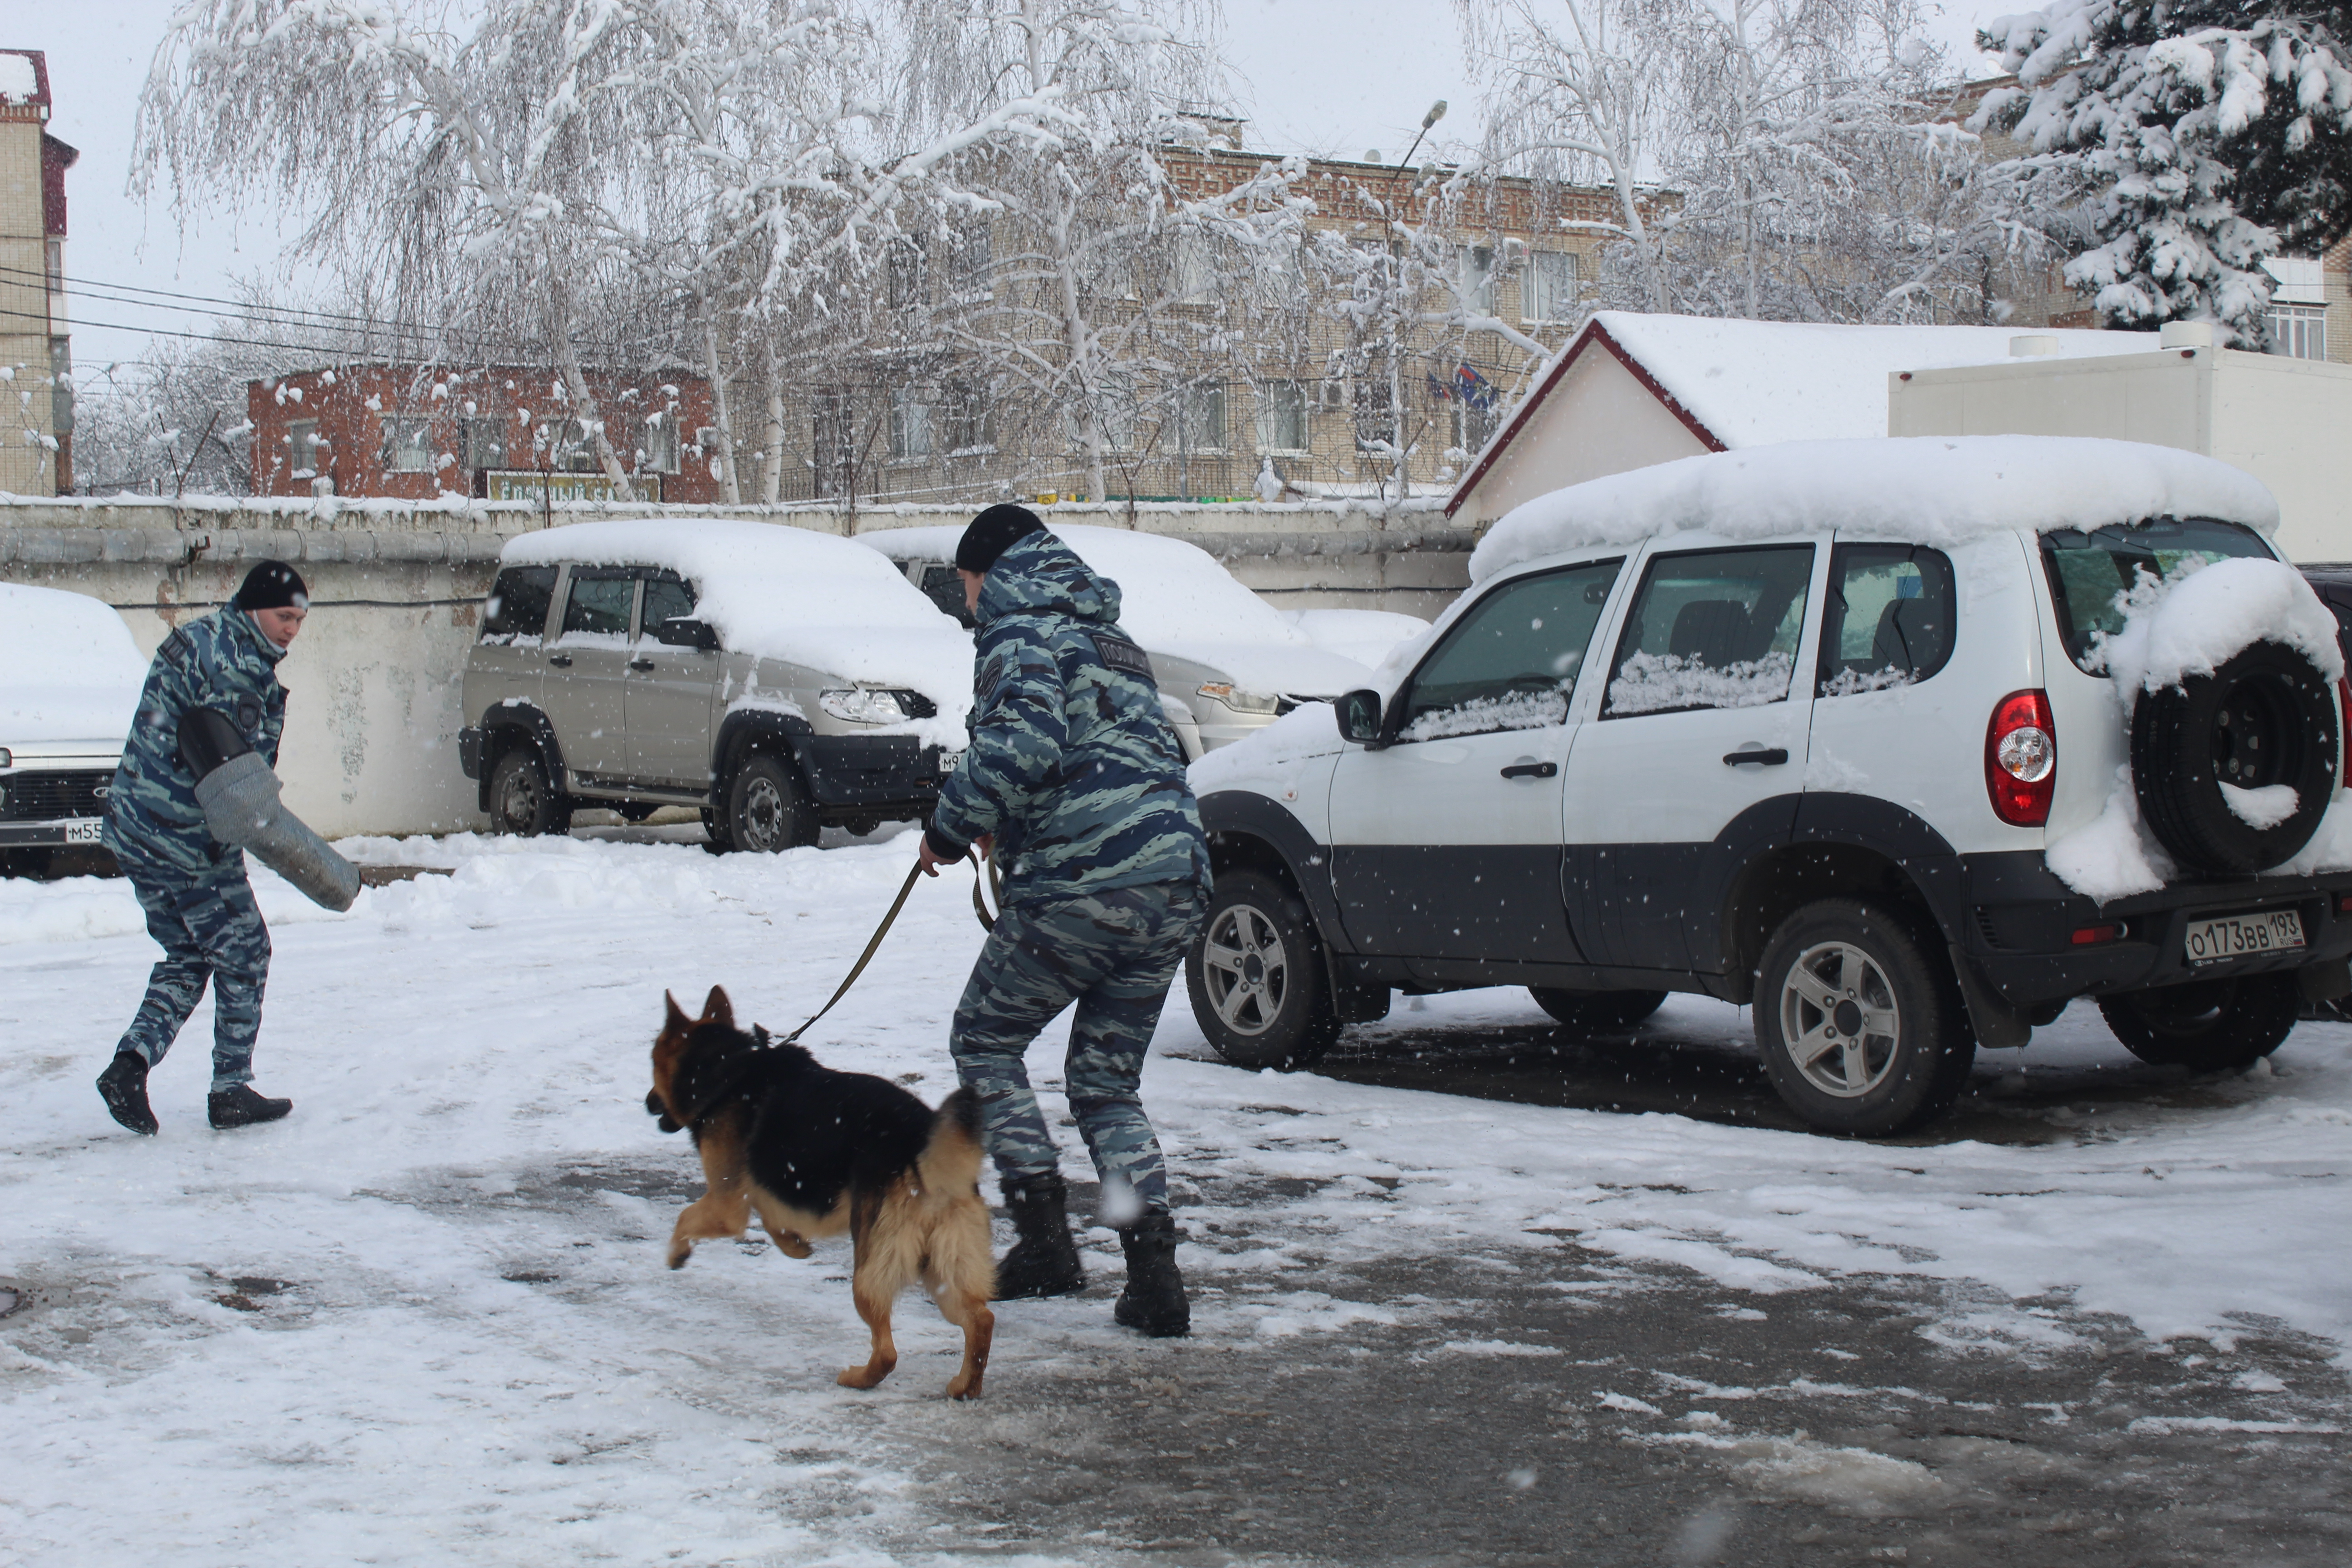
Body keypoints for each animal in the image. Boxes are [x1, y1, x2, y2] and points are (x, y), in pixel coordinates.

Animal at [644, 987, 992, 1401]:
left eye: (652, 1064)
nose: (647, 1103)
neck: (727, 1069)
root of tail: (919, 1147)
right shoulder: (769, 1188)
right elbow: (772, 1218)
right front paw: (795, 1245)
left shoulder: (726, 1203)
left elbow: (686, 1218)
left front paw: (676, 1253)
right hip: (943, 1266)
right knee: (981, 1319)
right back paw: (965, 1386)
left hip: (873, 1267)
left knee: (888, 1351)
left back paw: (858, 1379)